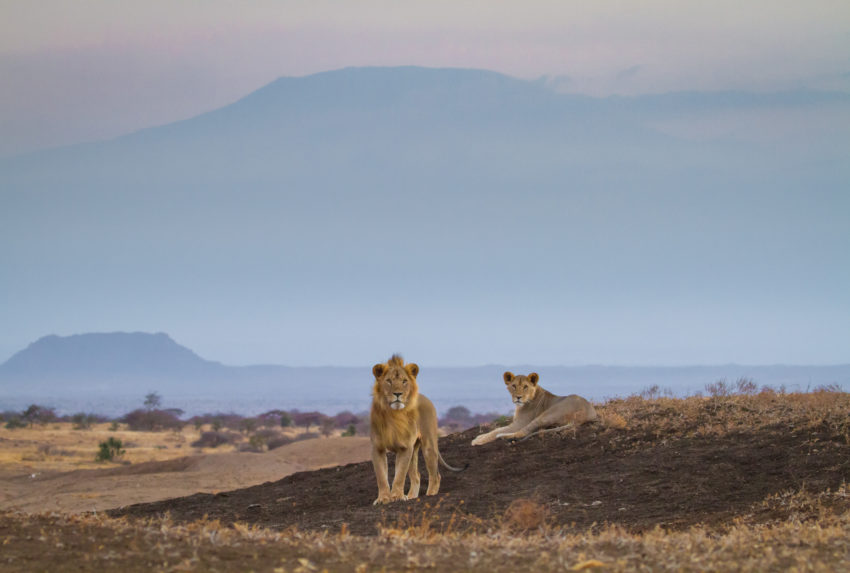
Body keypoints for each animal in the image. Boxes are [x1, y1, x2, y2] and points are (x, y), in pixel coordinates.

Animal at [370, 356, 464, 502]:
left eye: (404, 381)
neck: (393, 415)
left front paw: (397, 497)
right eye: (389, 381)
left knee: (435, 476)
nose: (398, 394)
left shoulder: (404, 448)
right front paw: (383, 499)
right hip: (414, 449)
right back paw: (411, 497)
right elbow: (381, 476)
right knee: (417, 476)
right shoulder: (377, 447)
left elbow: (399, 476)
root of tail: (424, 397)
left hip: (428, 446)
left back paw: (430, 495)